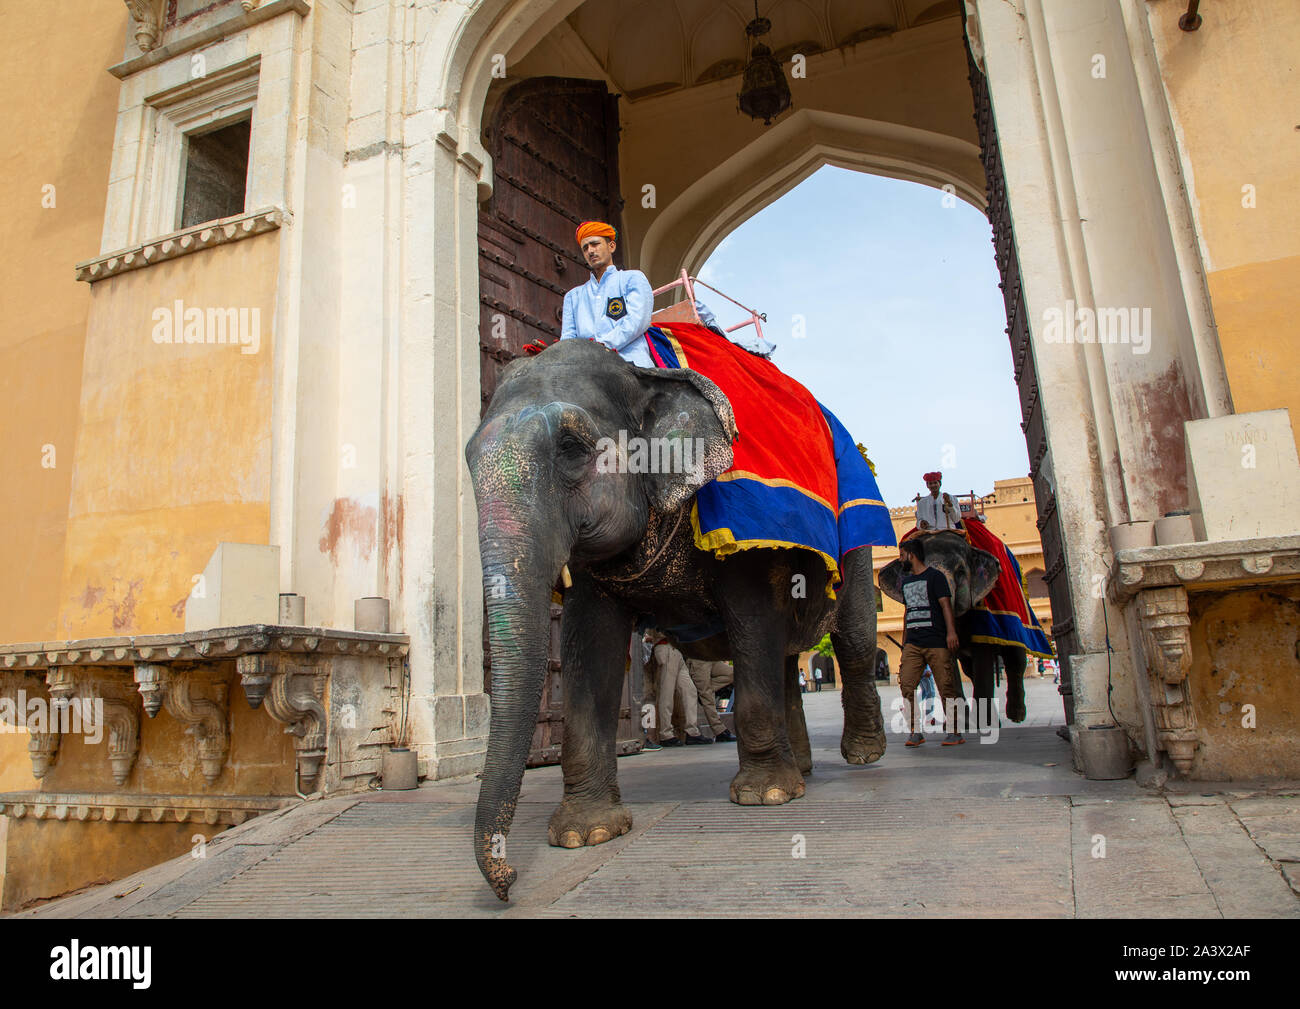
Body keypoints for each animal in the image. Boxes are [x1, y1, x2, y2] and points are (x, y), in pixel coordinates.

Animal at [465, 338, 886, 901]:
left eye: (573, 448)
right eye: (468, 458)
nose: (508, 882)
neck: (641, 377)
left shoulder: (737, 520)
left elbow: (752, 619)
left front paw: (764, 798)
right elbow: (588, 649)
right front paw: (585, 834)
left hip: (858, 545)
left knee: (854, 641)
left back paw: (860, 757)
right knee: (784, 661)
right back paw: (802, 771)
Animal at [877, 530, 1030, 729]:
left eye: (960, 572)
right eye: (908, 573)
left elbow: (983, 660)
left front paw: (983, 725)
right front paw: (960, 724)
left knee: (1016, 659)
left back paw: (1015, 715)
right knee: (969, 669)